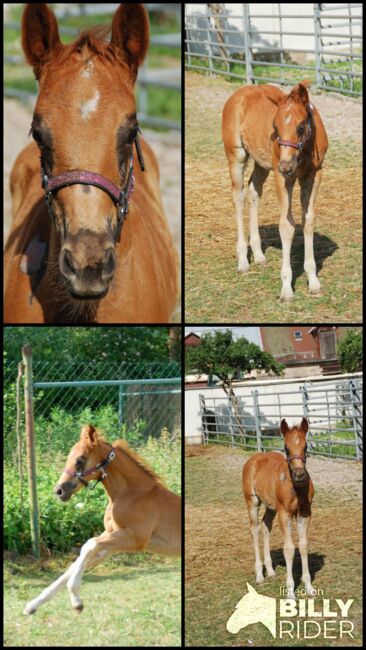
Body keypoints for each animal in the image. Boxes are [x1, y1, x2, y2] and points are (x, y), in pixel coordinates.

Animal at [24, 422, 182, 616]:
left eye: (80, 459)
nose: (59, 490)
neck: (132, 495)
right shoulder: (111, 538)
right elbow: (79, 559)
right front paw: (33, 604)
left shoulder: (136, 539)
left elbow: (89, 544)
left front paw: (76, 600)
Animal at [223, 81, 328, 302]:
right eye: (275, 127)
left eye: (300, 127)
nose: (286, 166)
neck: (303, 151)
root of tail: (239, 93)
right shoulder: (283, 178)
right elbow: (287, 226)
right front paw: (287, 289)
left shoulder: (314, 175)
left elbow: (308, 221)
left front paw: (314, 282)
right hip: (236, 155)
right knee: (238, 196)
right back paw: (243, 261)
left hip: (262, 162)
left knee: (254, 190)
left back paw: (259, 255)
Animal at [243, 418, 314, 600]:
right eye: (286, 448)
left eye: (305, 446)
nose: (299, 475)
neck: (296, 488)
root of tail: (255, 457)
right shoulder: (285, 514)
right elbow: (288, 549)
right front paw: (290, 593)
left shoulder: (305, 513)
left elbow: (303, 545)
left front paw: (309, 586)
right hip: (252, 501)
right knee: (254, 529)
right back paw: (259, 575)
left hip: (271, 507)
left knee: (265, 525)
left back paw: (270, 571)